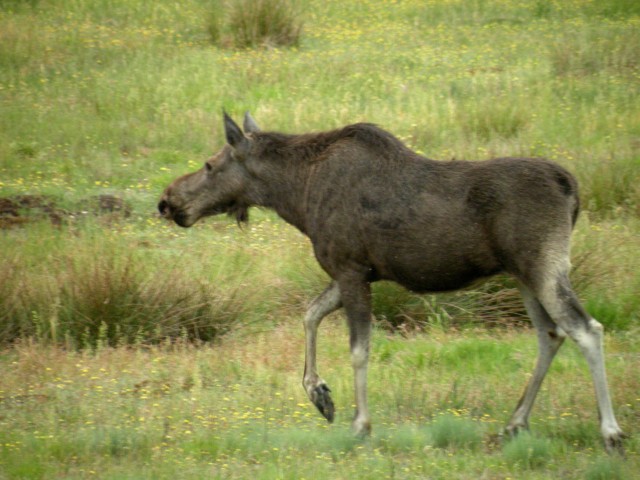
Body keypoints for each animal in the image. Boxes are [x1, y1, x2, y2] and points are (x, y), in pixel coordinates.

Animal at [159, 112, 624, 454]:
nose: (168, 200)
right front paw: (320, 394)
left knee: (586, 329)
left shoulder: (348, 267)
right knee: (551, 333)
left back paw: (611, 432)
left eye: (210, 164)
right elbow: (309, 316)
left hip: (544, 264)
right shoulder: (356, 270)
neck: (296, 196)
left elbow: (358, 350)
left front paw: (360, 424)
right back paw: (514, 422)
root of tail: (572, 188)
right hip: (523, 274)